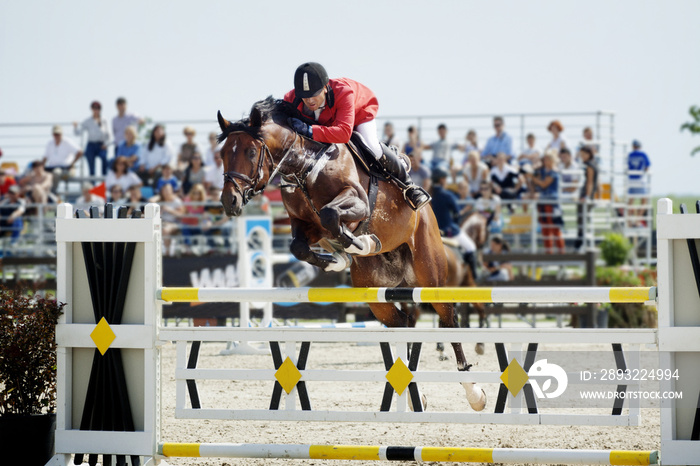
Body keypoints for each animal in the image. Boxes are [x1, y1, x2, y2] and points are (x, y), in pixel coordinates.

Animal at [216, 96, 484, 410]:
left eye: (250, 151)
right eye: (223, 153)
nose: (230, 201)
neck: (304, 166)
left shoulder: (357, 204)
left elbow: (333, 216)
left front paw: (360, 244)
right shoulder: (304, 224)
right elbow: (300, 245)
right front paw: (335, 258)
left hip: (430, 274)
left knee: (448, 319)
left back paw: (474, 392)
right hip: (376, 294)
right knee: (402, 321)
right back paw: (414, 392)